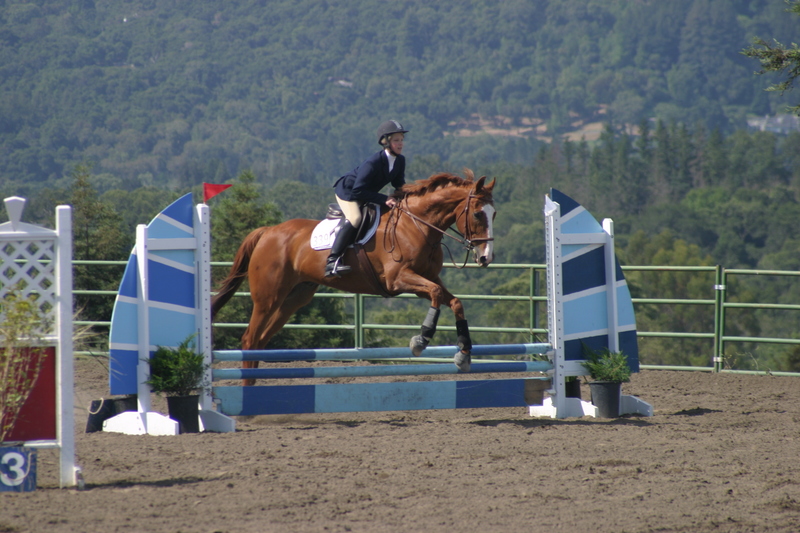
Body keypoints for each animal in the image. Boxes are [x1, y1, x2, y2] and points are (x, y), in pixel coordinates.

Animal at [211, 169, 496, 385]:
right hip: (268, 297)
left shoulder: (427, 279)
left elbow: (455, 301)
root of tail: (268, 231)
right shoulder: (399, 279)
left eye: (494, 214)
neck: (417, 226)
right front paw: (421, 340)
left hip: (294, 299)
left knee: (260, 339)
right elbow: (436, 296)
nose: (486, 258)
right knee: (250, 339)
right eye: (477, 213)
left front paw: (464, 355)